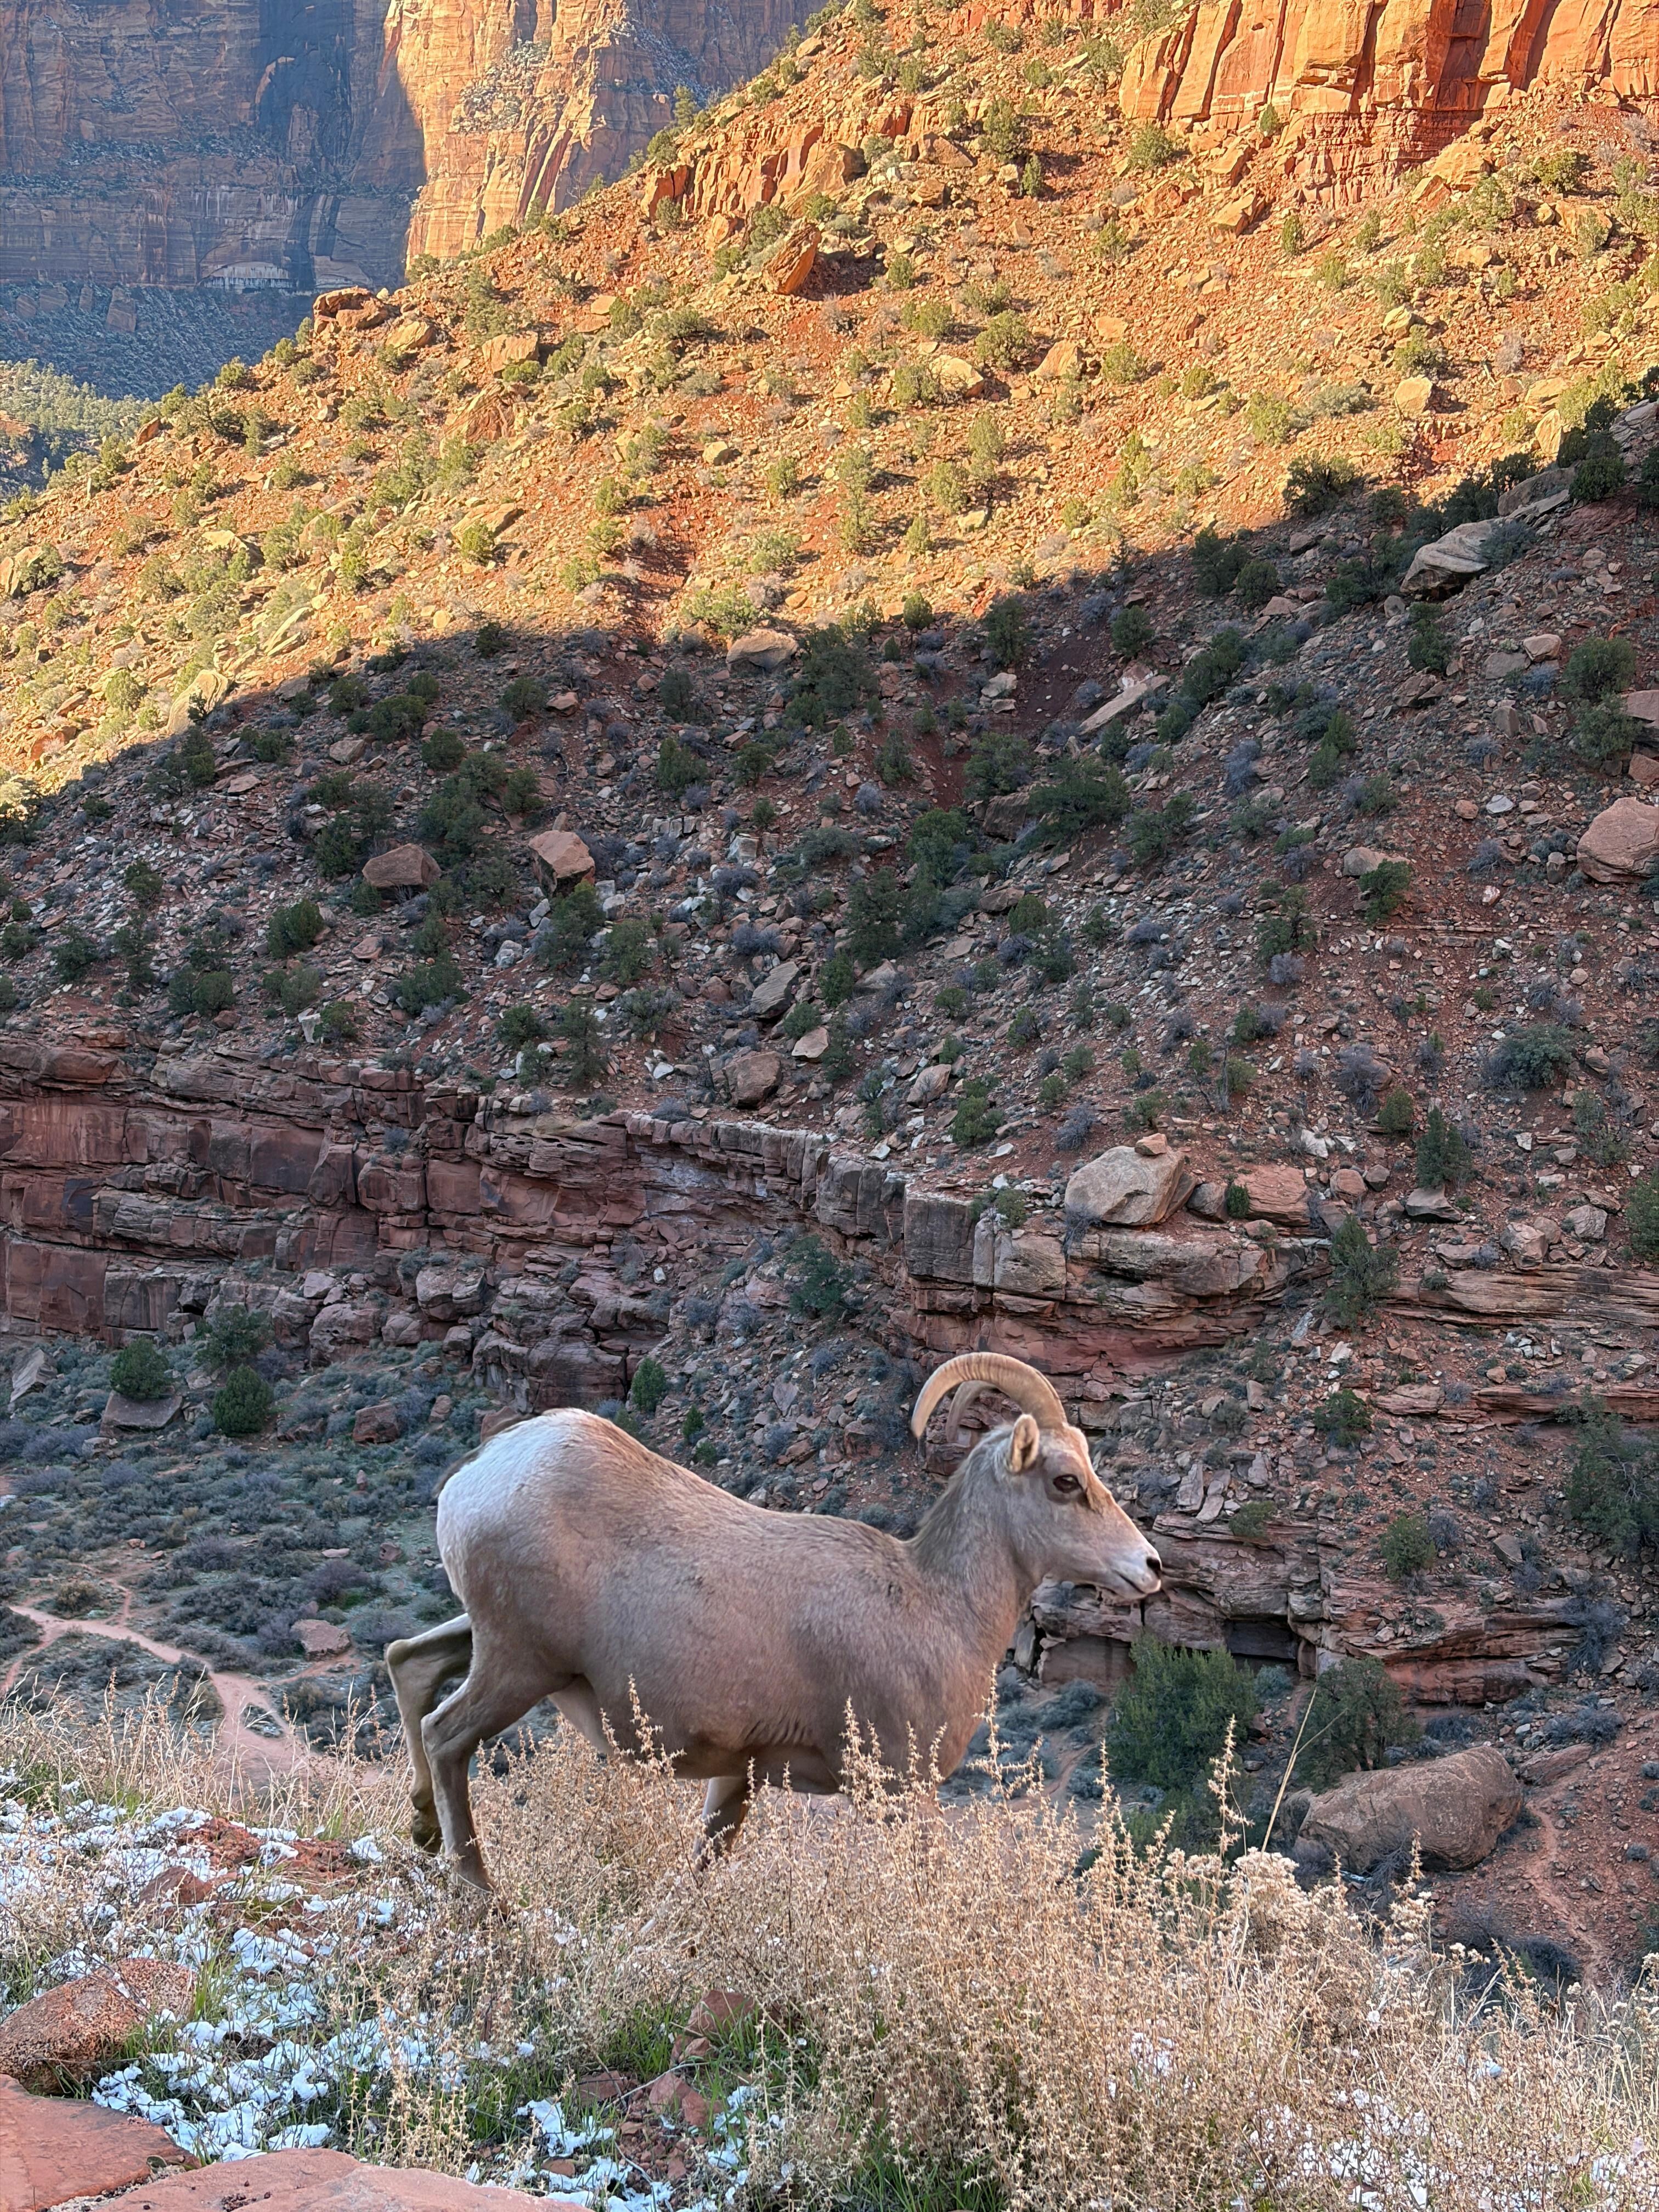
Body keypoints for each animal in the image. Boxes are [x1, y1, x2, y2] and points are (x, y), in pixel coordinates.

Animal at [386, 1352, 1160, 1889]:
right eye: (1066, 1481)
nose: (1149, 1566)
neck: (935, 1604)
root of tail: (475, 1478)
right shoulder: (902, 1795)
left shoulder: (738, 1781)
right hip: (518, 1666)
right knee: (446, 1733)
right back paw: (480, 1893)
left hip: (496, 1646)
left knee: (408, 1661)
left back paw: (421, 1828)